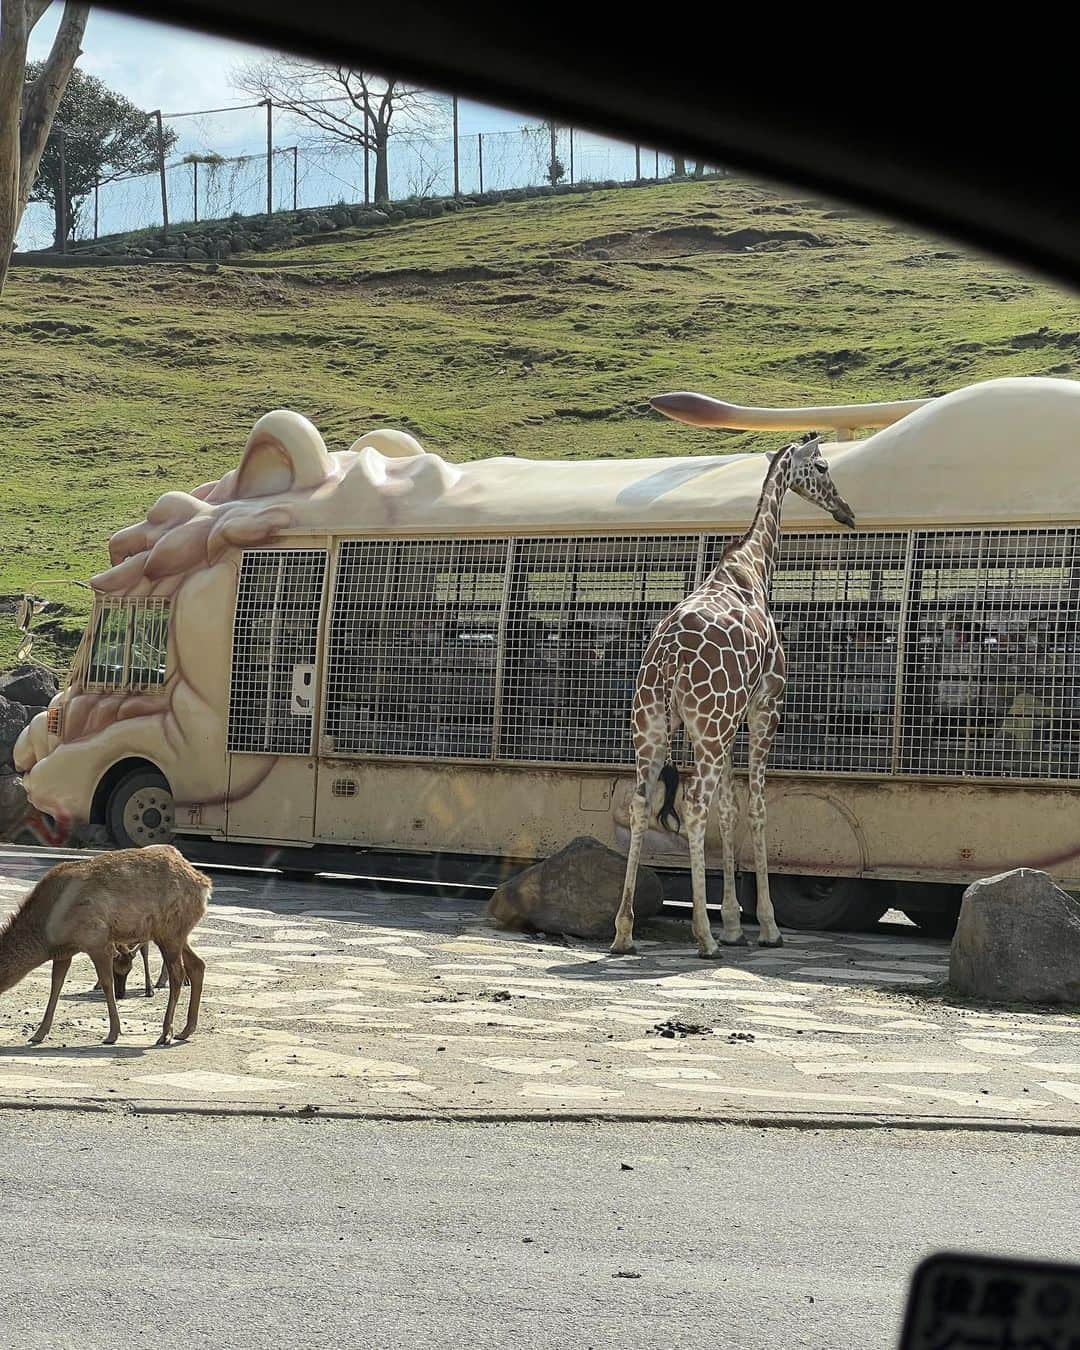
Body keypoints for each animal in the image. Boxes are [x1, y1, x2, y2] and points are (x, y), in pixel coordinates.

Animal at [0, 842, 209, 1053]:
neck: (48, 934)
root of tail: (205, 885)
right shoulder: (64, 952)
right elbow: (56, 985)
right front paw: (38, 1034)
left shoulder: (97, 940)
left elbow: (107, 984)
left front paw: (113, 1033)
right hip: (176, 933)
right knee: (197, 965)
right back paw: (186, 1030)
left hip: (170, 931)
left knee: (178, 974)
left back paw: (166, 1034)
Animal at [612, 410, 858, 961]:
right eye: (823, 466)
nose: (847, 511)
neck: (754, 564)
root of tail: (669, 660)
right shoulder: (764, 706)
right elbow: (757, 806)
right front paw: (762, 925)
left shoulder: (728, 724)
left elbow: (729, 809)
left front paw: (732, 923)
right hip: (707, 724)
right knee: (693, 805)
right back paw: (702, 939)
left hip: (653, 725)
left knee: (640, 804)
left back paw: (623, 931)